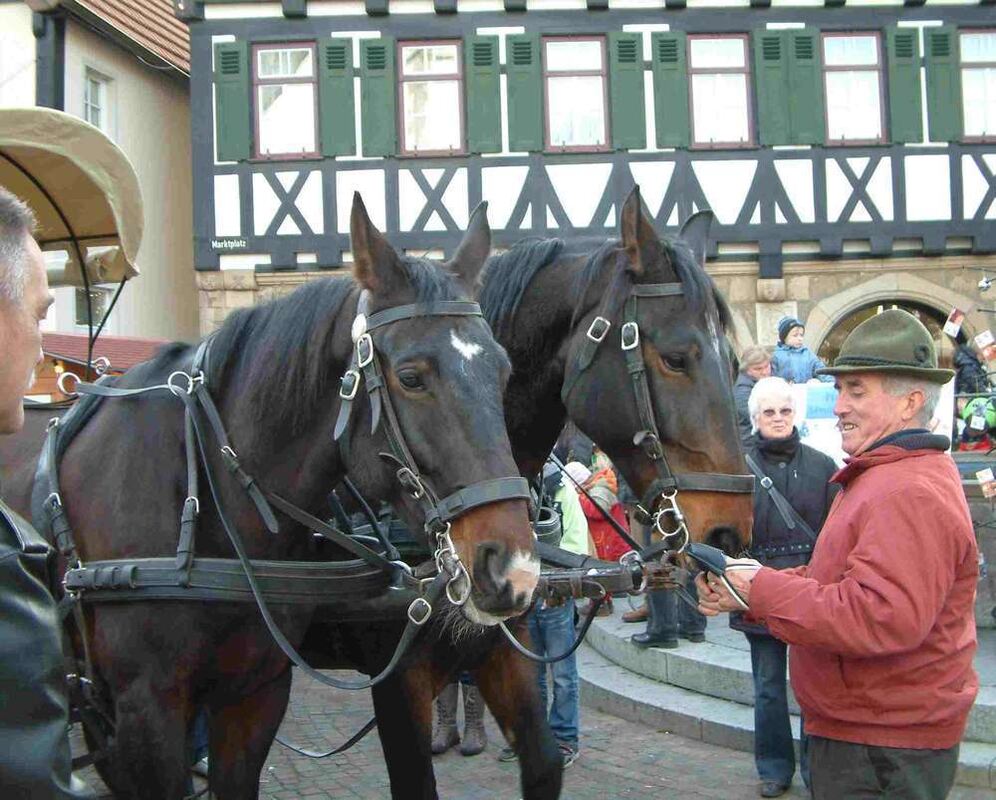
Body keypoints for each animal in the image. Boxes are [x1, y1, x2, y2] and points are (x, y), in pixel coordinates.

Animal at [300, 189, 752, 800]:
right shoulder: (395, 676)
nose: (729, 530)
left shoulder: (504, 645)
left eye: (735, 363)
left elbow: (543, 762)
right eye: (676, 359)